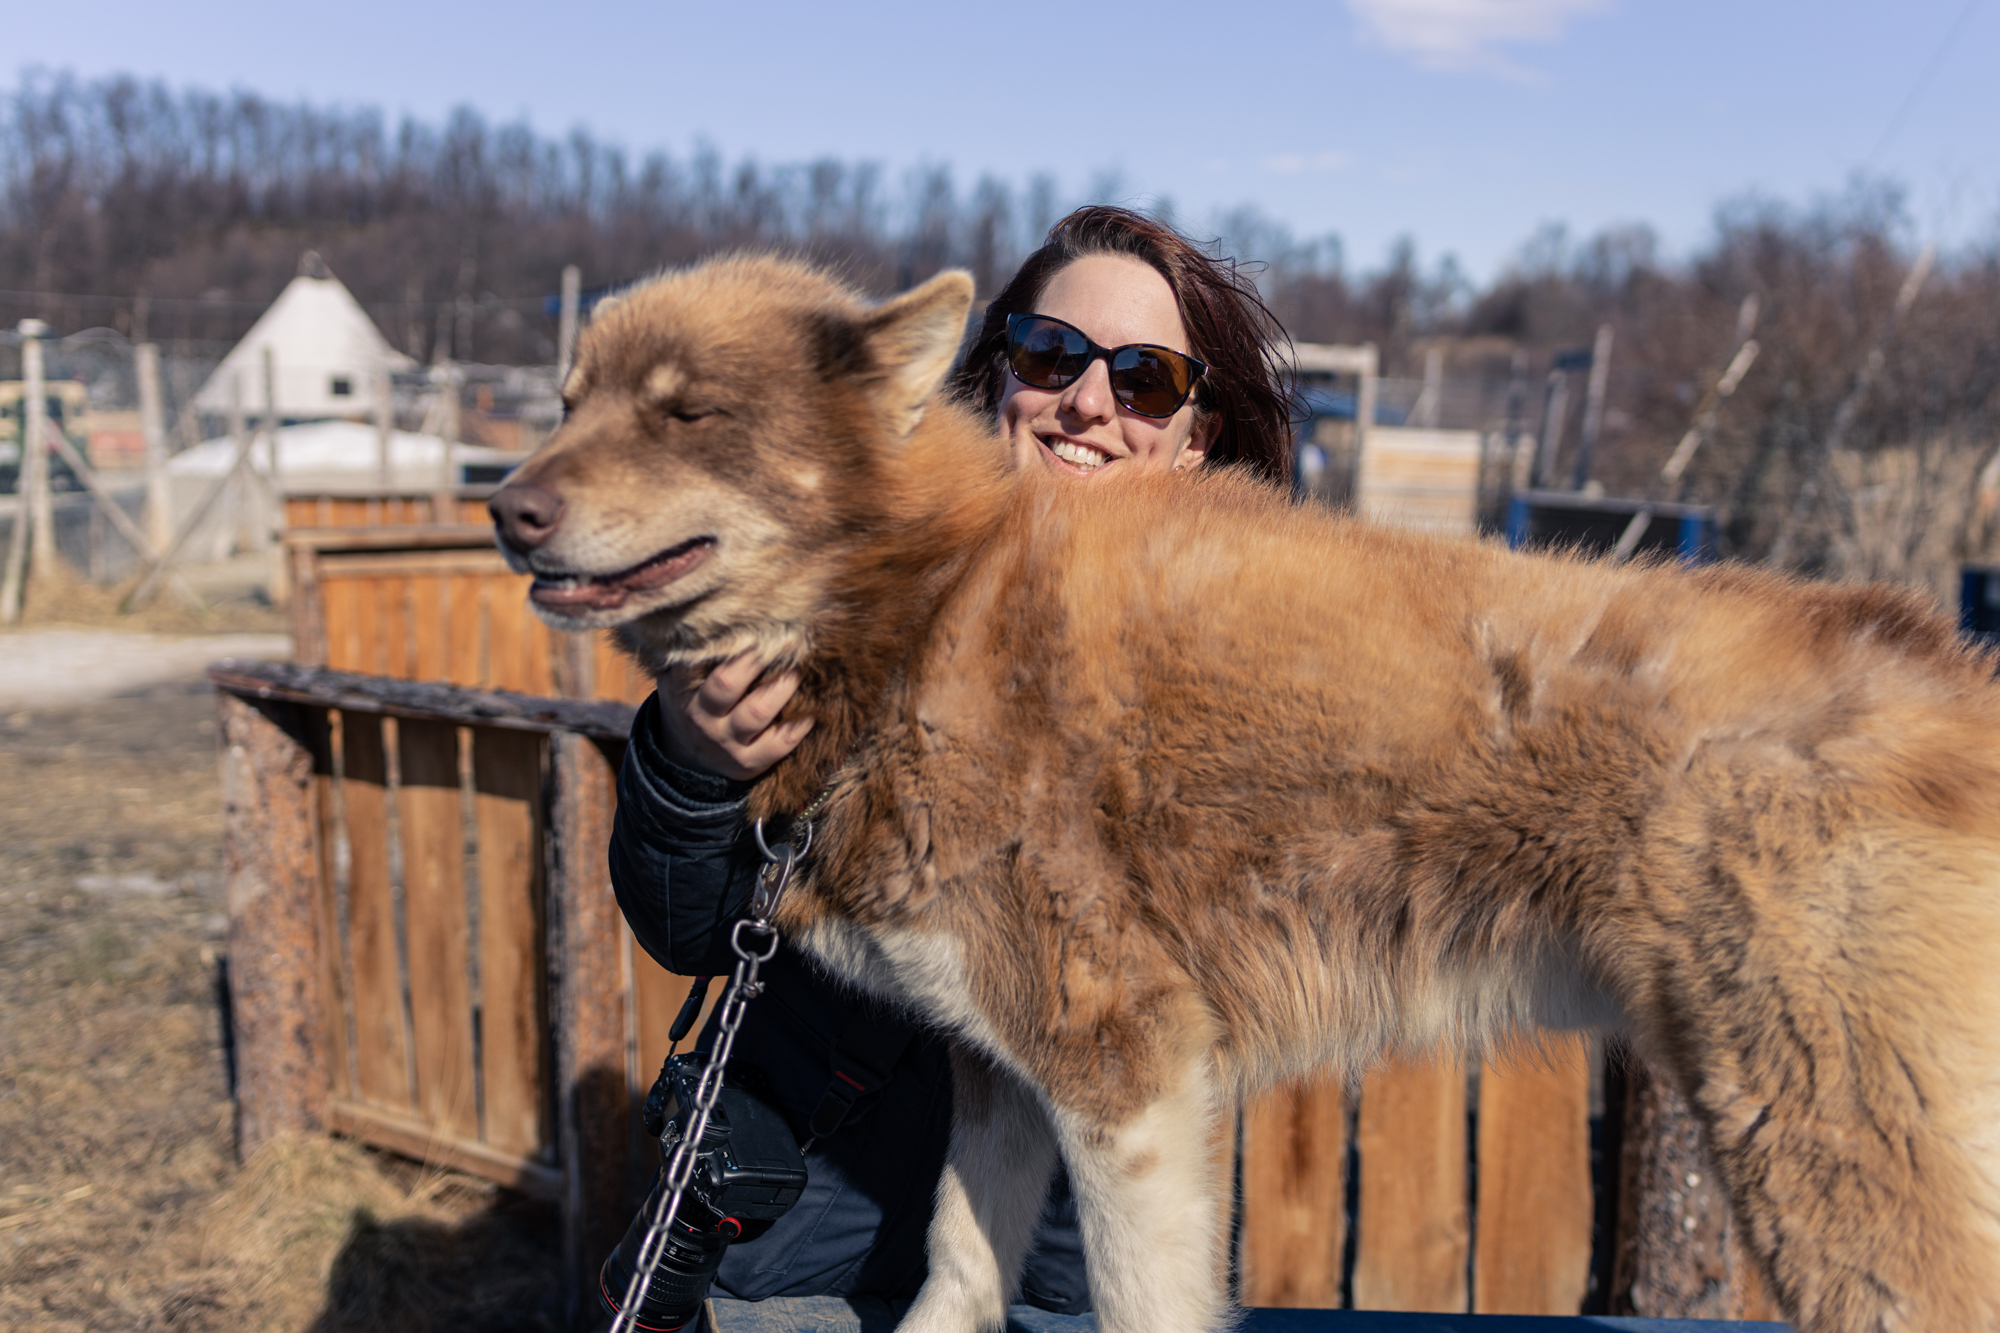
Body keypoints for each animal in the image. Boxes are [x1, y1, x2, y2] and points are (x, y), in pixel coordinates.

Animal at [492, 252, 2000, 1328]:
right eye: (565, 404)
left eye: (689, 414)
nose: (508, 507)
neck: (929, 611)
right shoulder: (1003, 1076)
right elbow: (955, 1276)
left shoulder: (1132, 1085)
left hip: (1840, 1182)